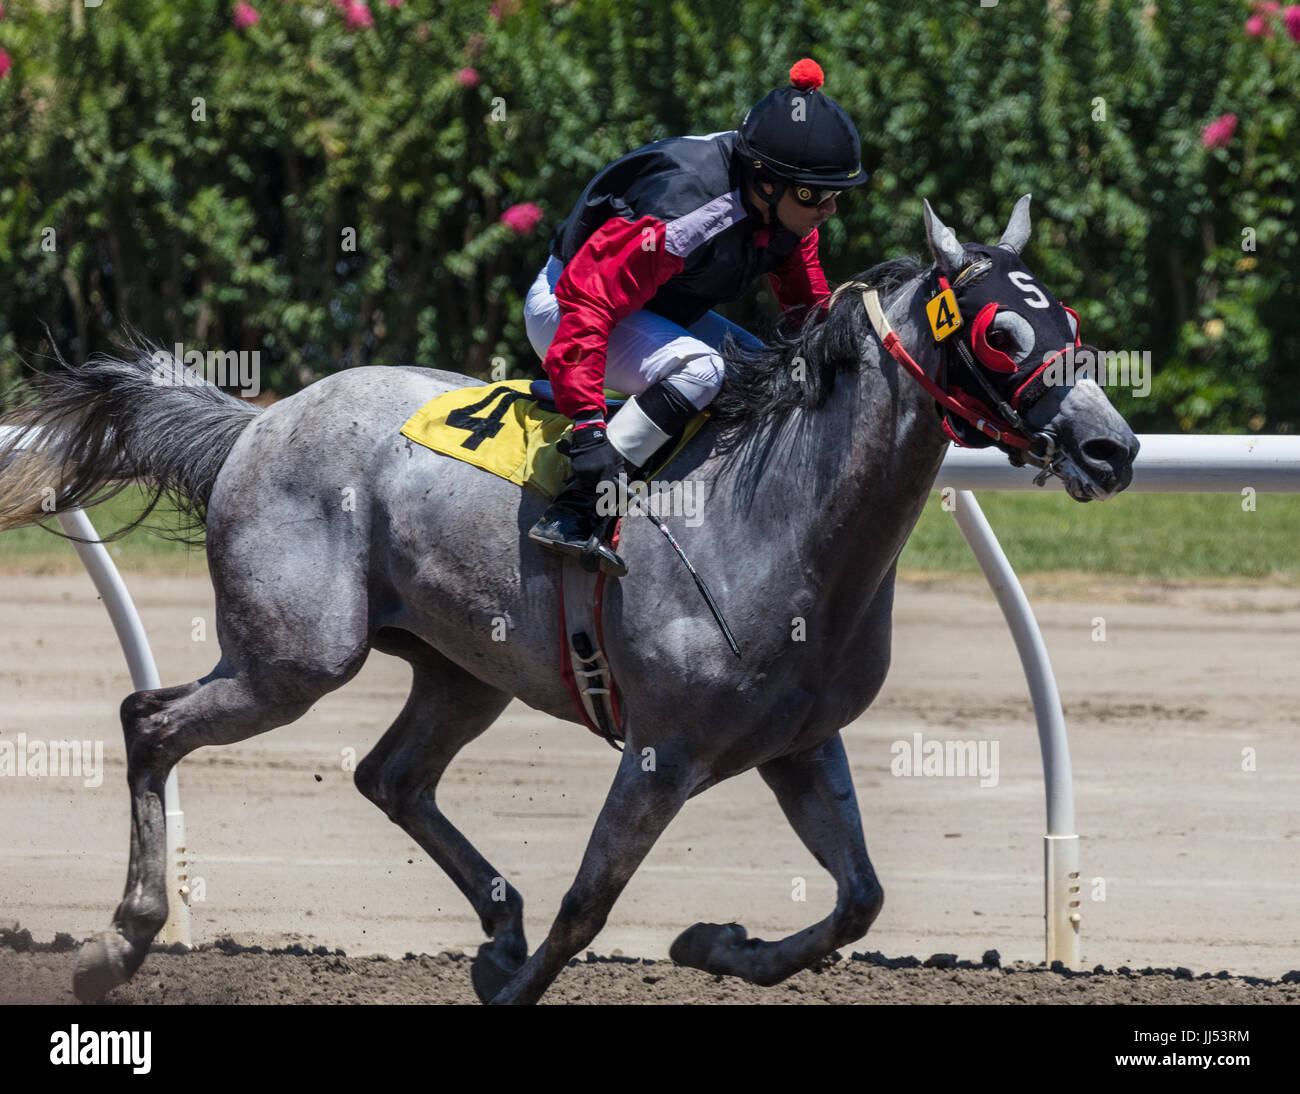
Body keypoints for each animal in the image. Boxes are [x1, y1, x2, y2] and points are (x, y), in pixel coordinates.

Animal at [0, 195, 1138, 1005]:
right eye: (1000, 334)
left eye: (1069, 320)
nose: (1111, 447)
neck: (777, 512)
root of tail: (255, 423)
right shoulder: (663, 749)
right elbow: (591, 900)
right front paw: (526, 982)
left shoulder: (800, 742)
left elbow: (860, 896)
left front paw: (713, 942)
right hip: (294, 659)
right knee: (151, 722)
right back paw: (117, 942)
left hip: (461, 670)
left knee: (390, 775)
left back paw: (496, 922)